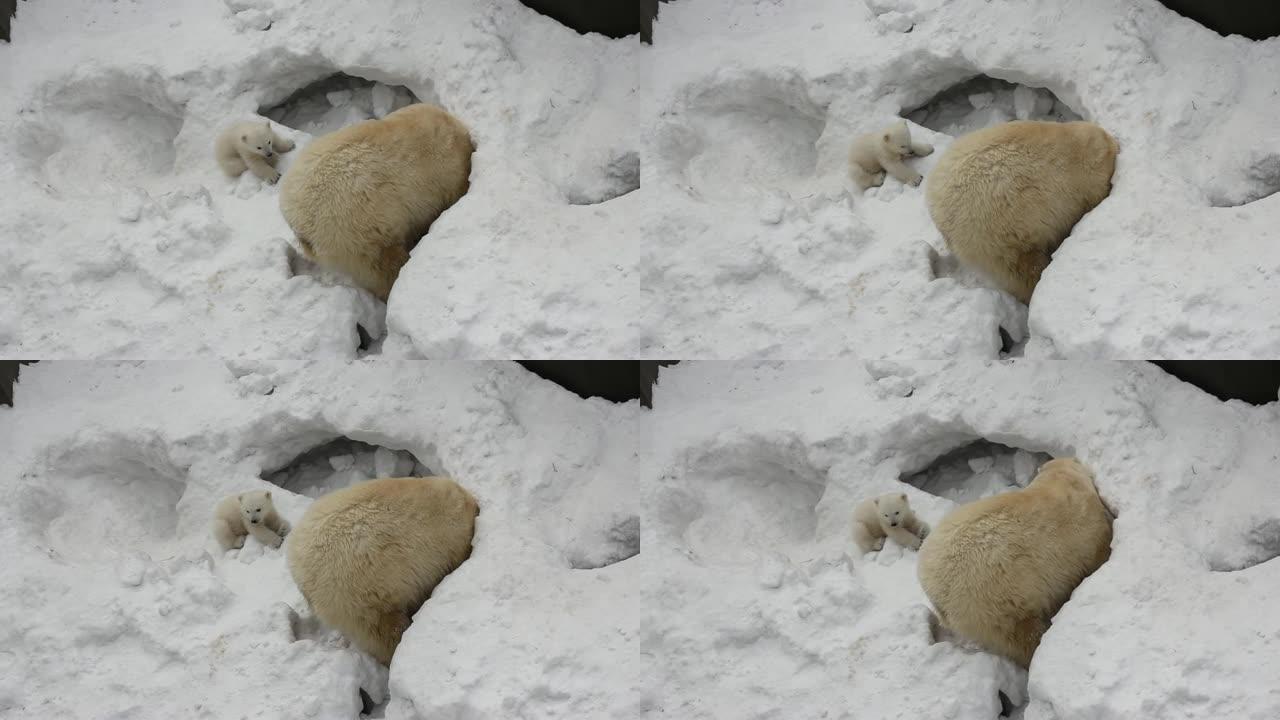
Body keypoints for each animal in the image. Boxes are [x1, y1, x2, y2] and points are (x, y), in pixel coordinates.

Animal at [921, 456, 1111, 666]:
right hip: (993, 600)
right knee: (1020, 634)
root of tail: (935, 592)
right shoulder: (1087, 528)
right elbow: (1099, 551)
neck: (1061, 478)